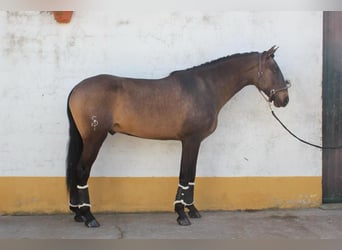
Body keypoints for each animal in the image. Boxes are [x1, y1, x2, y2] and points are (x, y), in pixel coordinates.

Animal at [65, 46, 290, 228]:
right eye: (274, 69)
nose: (284, 99)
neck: (206, 87)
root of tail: (76, 88)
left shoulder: (193, 142)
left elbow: (191, 175)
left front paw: (192, 209)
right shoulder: (191, 140)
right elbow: (185, 174)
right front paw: (182, 214)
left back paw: (78, 213)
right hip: (94, 138)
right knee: (81, 170)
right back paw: (89, 216)